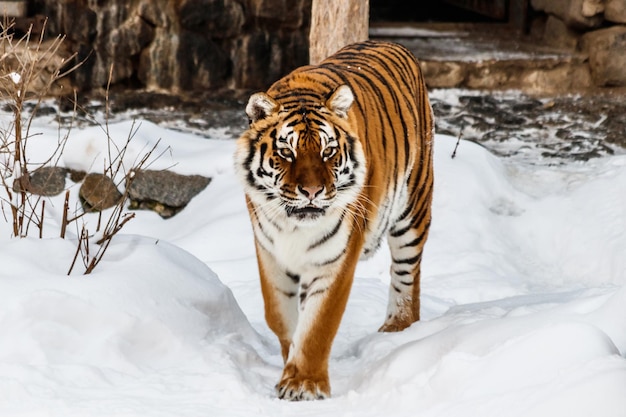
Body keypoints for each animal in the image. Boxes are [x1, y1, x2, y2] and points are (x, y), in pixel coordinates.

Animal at [232, 39, 432, 400]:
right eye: (286, 152)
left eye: (328, 152)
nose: (312, 191)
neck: (294, 225)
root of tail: (390, 41)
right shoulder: (269, 252)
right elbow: (279, 315)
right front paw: (289, 362)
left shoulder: (336, 259)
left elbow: (318, 324)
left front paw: (304, 384)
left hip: (413, 206)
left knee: (407, 272)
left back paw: (397, 327)